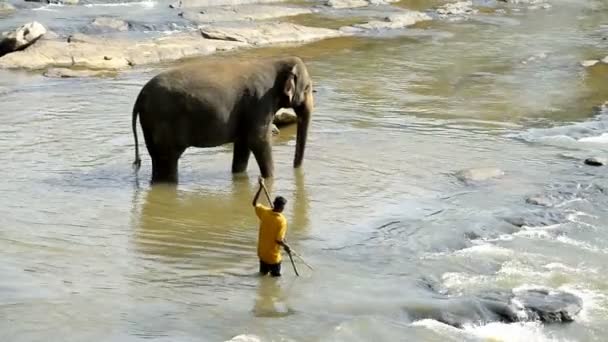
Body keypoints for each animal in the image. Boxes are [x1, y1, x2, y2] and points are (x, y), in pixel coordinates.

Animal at [132, 56, 314, 184]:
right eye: (307, 88)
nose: (295, 170)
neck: (277, 61)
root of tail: (141, 95)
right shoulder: (260, 101)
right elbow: (258, 140)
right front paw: (269, 178)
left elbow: (243, 144)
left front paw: (239, 175)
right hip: (163, 120)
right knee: (168, 159)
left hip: (150, 123)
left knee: (158, 159)